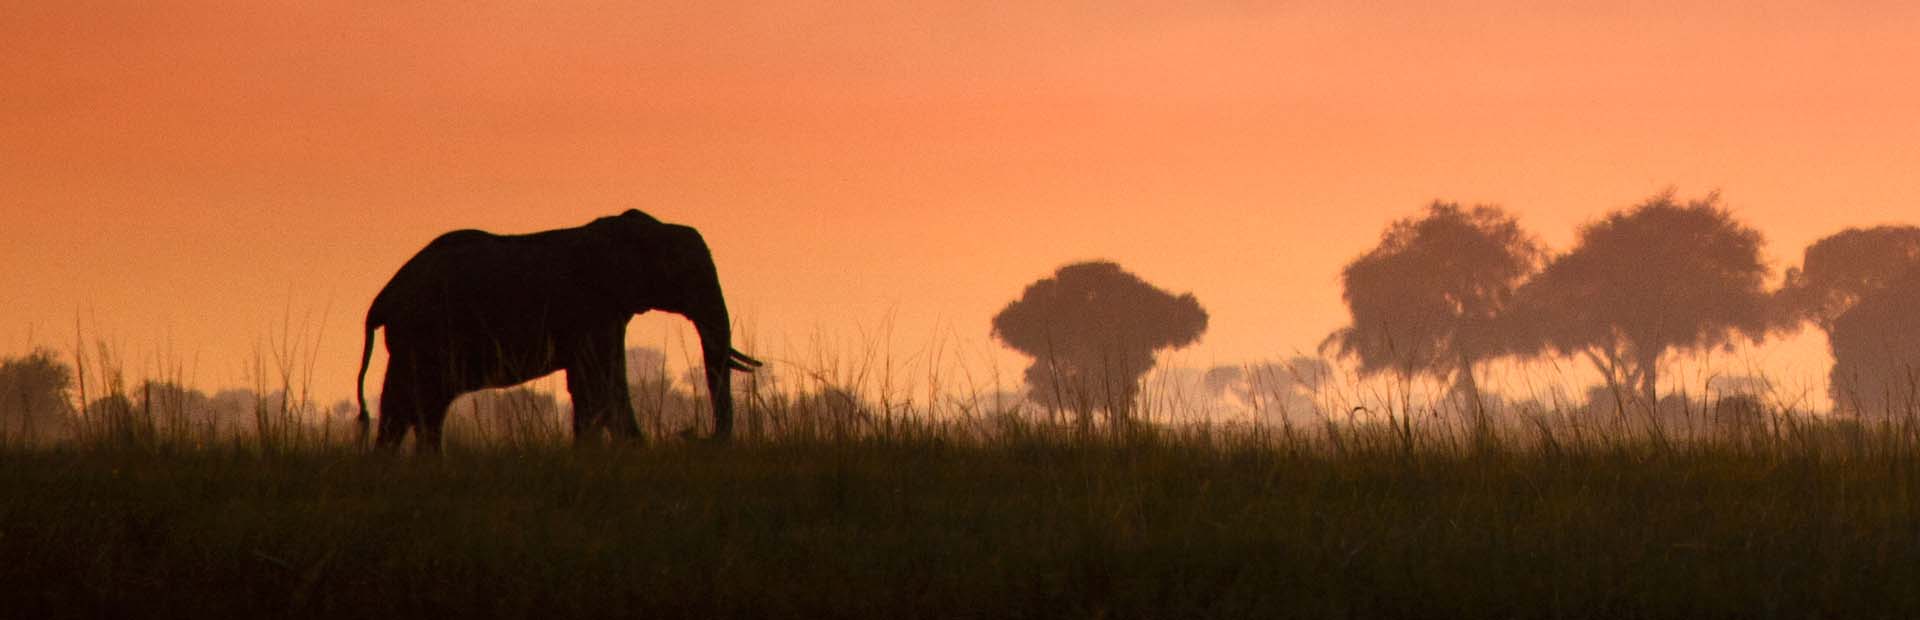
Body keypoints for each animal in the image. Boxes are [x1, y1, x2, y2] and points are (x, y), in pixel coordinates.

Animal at [357, 210, 760, 451]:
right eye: (686, 273)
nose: (693, 436)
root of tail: (382, 300)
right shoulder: (593, 309)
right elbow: (602, 381)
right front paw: (629, 451)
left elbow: (594, 384)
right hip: (423, 335)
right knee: (417, 402)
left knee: (412, 406)